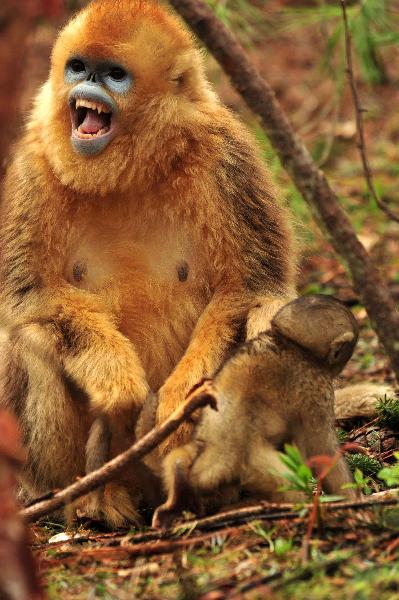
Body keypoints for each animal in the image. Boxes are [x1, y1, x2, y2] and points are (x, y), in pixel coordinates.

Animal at [0, 0, 296, 524]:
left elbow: (254, 290)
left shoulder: (227, 155)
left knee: (265, 322)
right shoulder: (33, 162)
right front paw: (116, 379)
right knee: (31, 335)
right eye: (78, 66)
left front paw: (181, 399)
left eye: (114, 75)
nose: (86, 86)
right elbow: (26, 294)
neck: (130, 171)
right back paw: (88, 499)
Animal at [152, 292, 360, 528]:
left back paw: (174, 503)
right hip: (253, 466)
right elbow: (321, 449)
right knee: (285, 481)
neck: (290, 343)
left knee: (179, 459)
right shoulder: (317, 388)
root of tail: (212, 466)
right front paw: (352, 499)